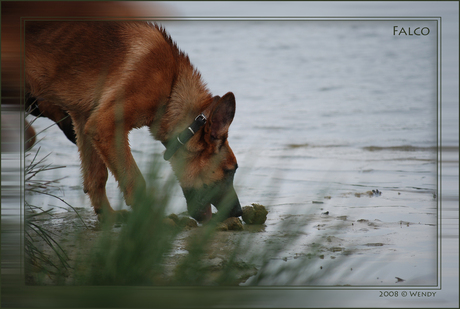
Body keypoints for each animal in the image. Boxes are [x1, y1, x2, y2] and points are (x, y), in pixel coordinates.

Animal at [25, 21, 243, 221]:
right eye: (230, 171)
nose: (239, 212)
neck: (171, 84)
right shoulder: (105, 126)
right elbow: (134, 180)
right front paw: (151, 222)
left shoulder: (85, 120)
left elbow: (96, 176)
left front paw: (108, 217)